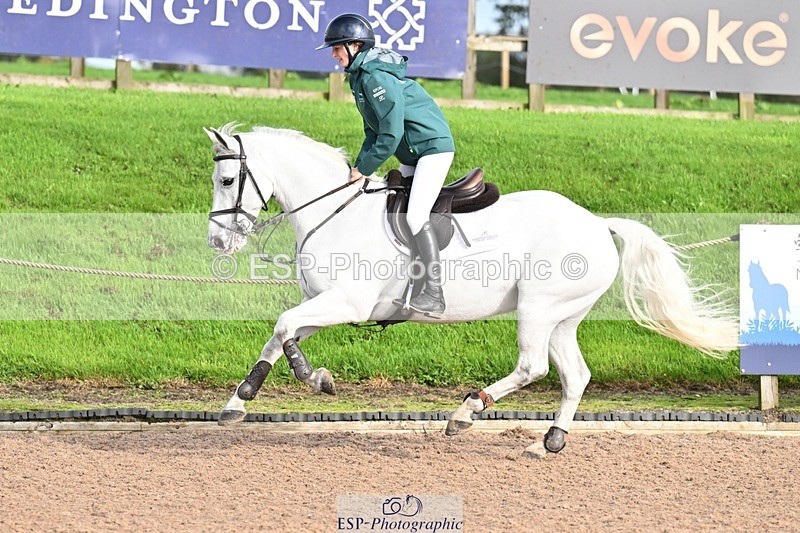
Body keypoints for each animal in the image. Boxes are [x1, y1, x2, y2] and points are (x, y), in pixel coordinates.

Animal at [204, 123, 739, 458]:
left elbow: (284, 328)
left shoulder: (345, 303)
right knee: (576, 375)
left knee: (533, 367)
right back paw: (549, 441)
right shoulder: (325, 304)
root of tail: (597, 223)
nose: (217, 242)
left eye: (227, 179)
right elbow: (280, 334)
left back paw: (466, 412)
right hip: (562, 317)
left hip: (539, 308)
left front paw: (316, 379)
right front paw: (238, 402)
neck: (335, 213)